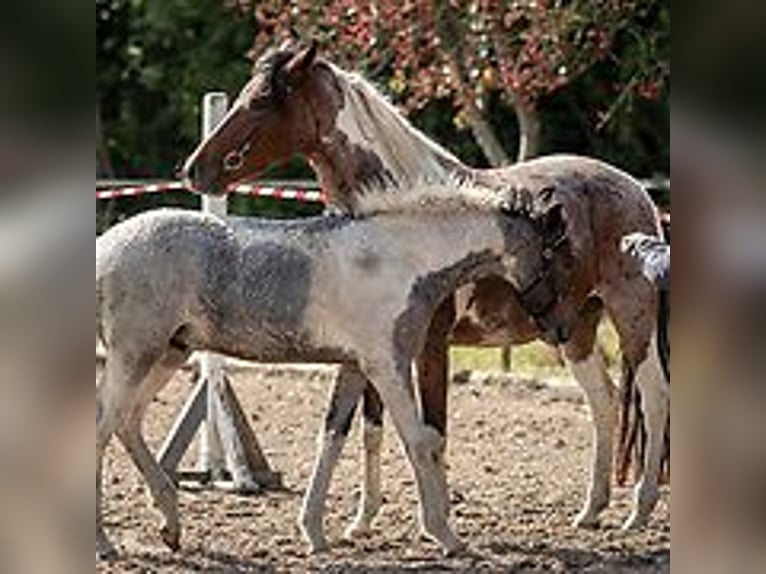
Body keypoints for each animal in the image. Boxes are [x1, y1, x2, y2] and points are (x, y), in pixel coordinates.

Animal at [97, 183, 568, 560]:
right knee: (103, 428)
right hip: (135, 355)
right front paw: (445, 535)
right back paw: (105, 543)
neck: (401, 260)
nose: (562, 329)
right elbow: (419, 441)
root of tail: (104, 246)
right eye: (551, 253)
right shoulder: (387, 365)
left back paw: (171, 525)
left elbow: (333, 439)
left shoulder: (355, 368)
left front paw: (315, 533)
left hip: (168, 354)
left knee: (127, 423)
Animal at [182, 39, 672, 544]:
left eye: (262, 100)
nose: (194, 169)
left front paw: (436, 523)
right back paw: (591, 509)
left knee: (656, 398)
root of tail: (636, 191)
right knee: (604, 401)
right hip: (574, 331)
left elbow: (432, 431)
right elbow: (373, 428)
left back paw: (639, 511)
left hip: (632, 318)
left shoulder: (430, 346)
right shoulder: (374, 348)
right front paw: (364, 519)